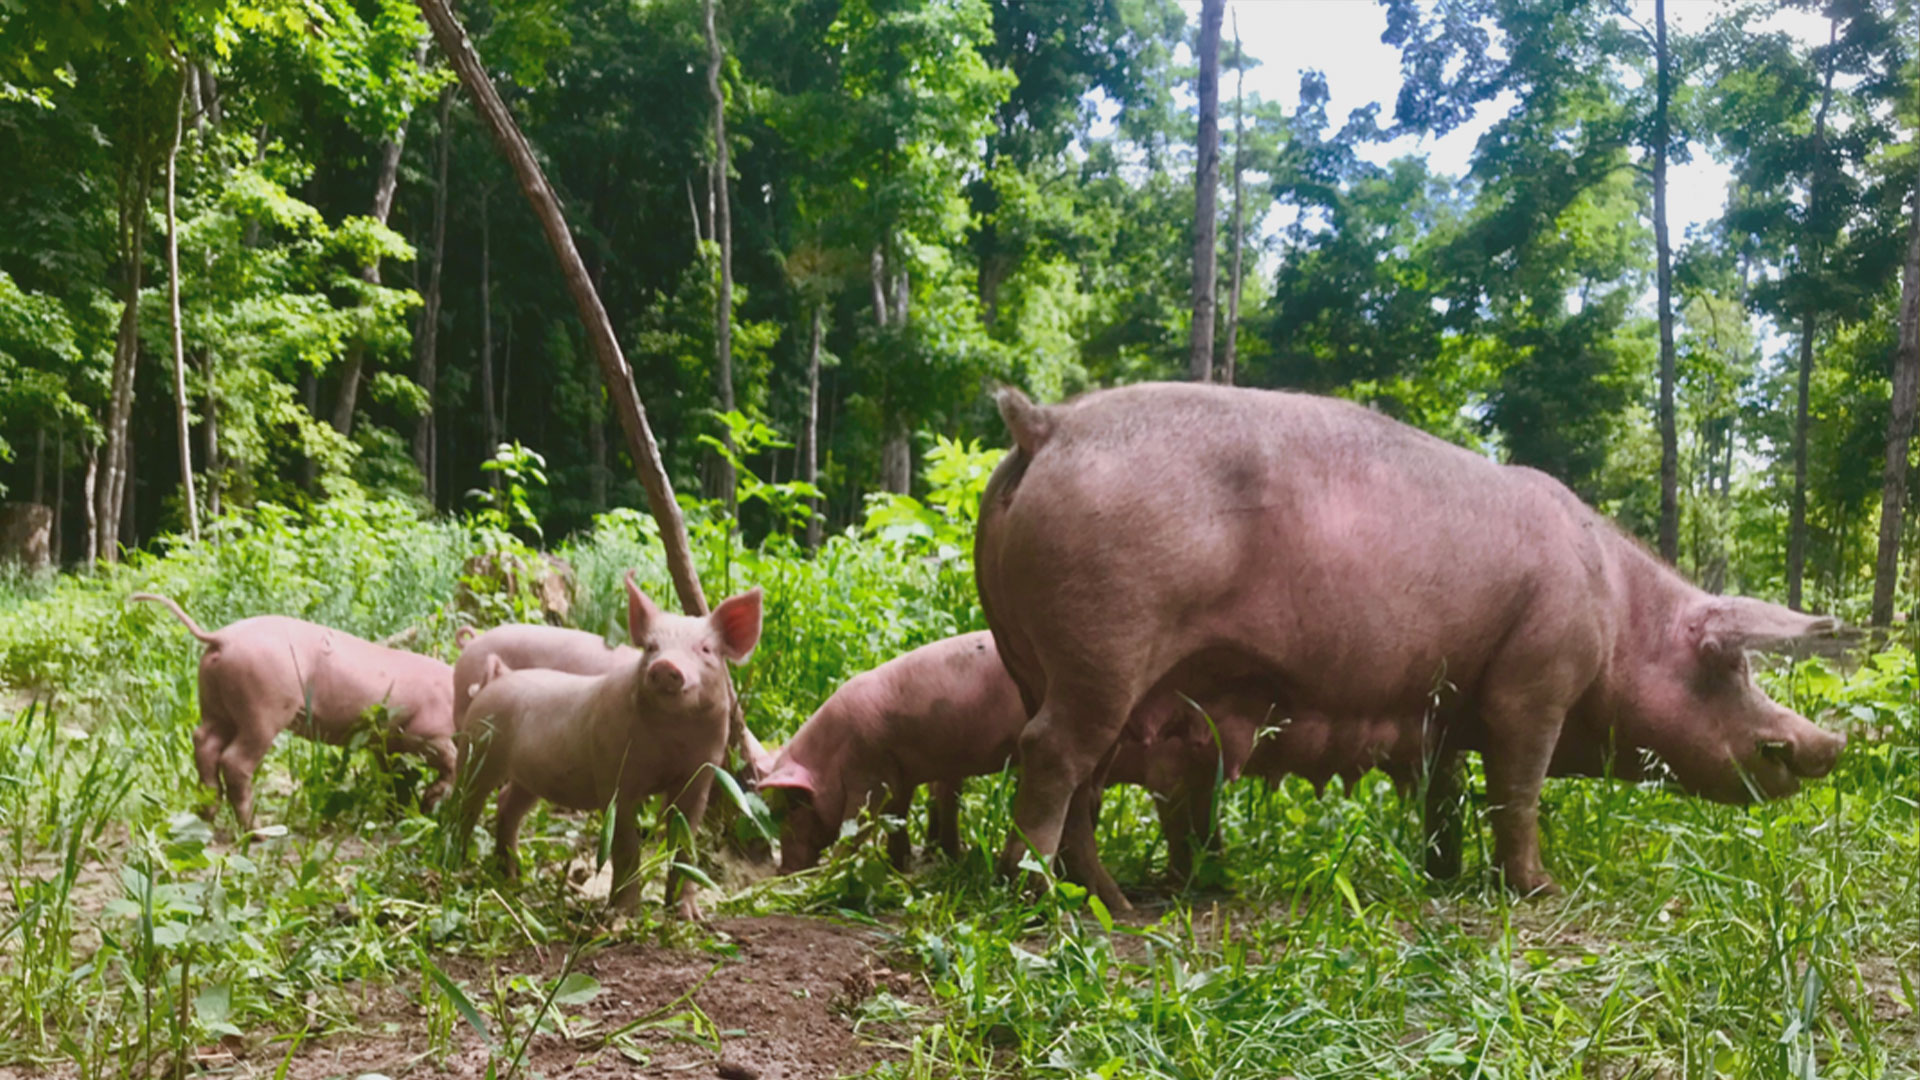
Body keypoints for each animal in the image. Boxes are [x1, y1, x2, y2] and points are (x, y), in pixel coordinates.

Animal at [133, 588, 458, 822]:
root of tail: (222, 637)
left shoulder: (386, 743)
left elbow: (398, 779)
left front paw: (402, 816)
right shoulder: (424, 733)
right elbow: (450, 759)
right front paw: (428, 803)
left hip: (214, 703)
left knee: (204, 743)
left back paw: (207, 816)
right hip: (263, 708)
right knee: (235, 760)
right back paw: (257, 832)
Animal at [456, 572, 764, 914]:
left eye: (706, 649)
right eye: (651, 647)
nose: (666, 666)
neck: (672, 741)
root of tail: (498, 678)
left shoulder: (702, 772)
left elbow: (685, 842)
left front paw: (688, 915)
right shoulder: (613, 771)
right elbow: (625, 845)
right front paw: (624, 914)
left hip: (528, 777)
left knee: (507, 803)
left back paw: (510, 879)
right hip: (476, 750)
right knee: (463, 805)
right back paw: (454, 864)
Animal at [983, 380, 1850, 907]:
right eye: (1729, 664)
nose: (1831, 743)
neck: (1617, 616)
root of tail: (1048, 425)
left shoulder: (1447, 708)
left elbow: (1449, 794)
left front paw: (1444, 875)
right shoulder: (1536, 677)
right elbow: (1517, 791)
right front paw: (1539, 890)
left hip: (1046, 663)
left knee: (1079, 777)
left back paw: (1116, 904)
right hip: (1104, 650)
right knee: (1050, 755)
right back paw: (1047, 903)